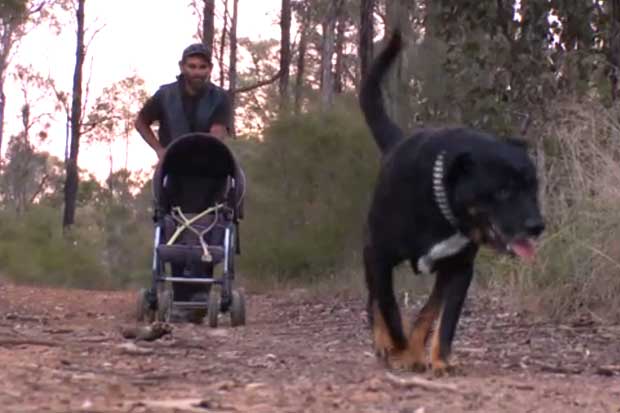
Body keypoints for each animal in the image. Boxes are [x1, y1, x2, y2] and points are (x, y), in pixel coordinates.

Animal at [358, 30, 544, 374]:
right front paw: (398, 346)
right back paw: (386, 344)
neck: (442, 210)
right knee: (374, 300)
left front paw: (439, 359)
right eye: (503, 191)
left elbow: (442, 319)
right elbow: (389, 308)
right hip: (369, 253)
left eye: (533, 187)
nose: (537, 226)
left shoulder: (459, 269)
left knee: (427, 311)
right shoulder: (380, 256)